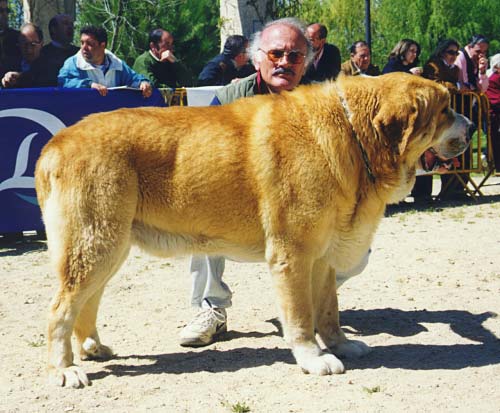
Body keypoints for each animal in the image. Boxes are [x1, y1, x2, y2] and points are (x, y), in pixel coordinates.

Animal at [34, 73, 468, 386]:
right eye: (446, 109)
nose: (468, 123)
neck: (354, 135)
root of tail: (55, 143)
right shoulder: (292, 257)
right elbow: (300, 318)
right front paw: (313, 359)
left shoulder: (323, 260)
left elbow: (329, 311)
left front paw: (341, 346)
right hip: (95, 245)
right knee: (59, 309)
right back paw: (65, 369)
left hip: (108, 246)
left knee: (86, 302)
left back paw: (92, 348)